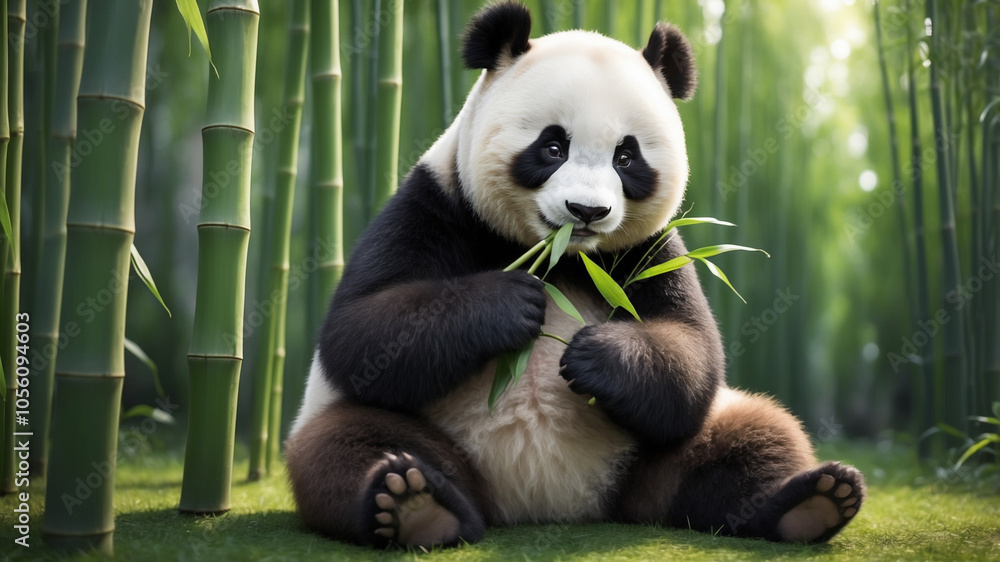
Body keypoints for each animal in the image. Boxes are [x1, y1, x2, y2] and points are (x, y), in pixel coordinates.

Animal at [286, 1, 865, 548]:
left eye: (626, 157)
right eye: (552, 146)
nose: (586, 211)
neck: (561, 257)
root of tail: (545, 502)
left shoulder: (649, 249)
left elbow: (692, 351)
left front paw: (595, 355)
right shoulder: (437, 203)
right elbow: (362, 333)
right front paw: (510, 304)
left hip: (653, 453)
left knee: (749, 434)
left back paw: (811, 502)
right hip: (410, 430)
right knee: (347, 442)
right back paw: (413, 505)